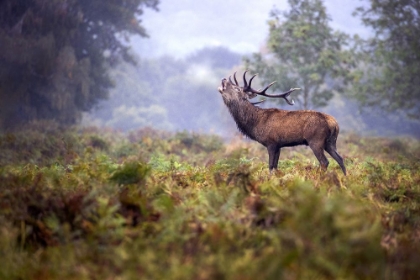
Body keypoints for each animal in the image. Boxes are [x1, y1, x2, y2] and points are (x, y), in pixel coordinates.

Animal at [218, 70, 346, 175]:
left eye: (237, 89)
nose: (224, 79)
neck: (255, 124)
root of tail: (334, 123)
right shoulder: (279, 145)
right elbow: (275, 166)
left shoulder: (271, 142)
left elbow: (270, 166)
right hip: (330, 142)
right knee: (340, 158)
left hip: (315, 140)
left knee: (325, 162)